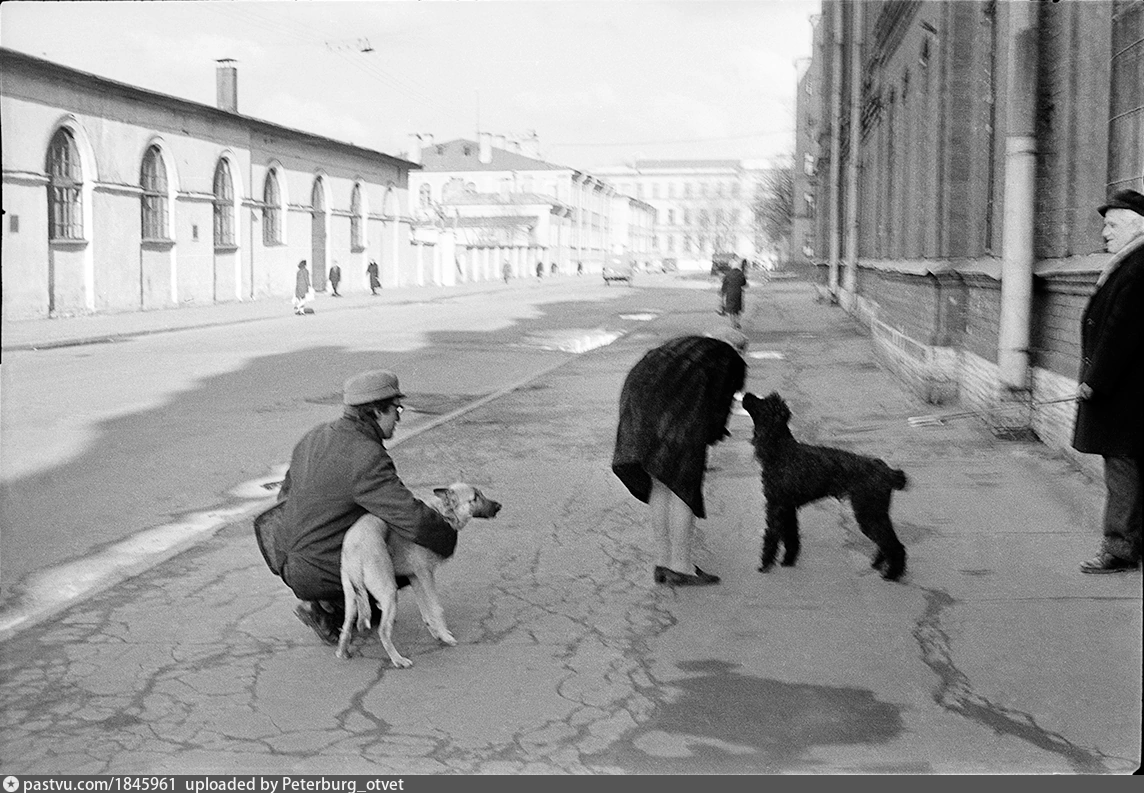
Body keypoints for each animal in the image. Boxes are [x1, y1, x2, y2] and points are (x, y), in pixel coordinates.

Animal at [336, 485, 503, 663]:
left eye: (480, 494)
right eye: (475, 498)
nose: (499, 506)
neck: (441, 512)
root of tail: (354, 547)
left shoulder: (416, 578)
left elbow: (426, 610)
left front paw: (437, 632)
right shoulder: (426, 575)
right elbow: (436, 608)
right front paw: (445, 636)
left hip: (352, 598)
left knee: (346, 626)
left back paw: (342, 651)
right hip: (389, 593)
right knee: (383, 630)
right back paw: (398, 660)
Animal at [741, 391, 910, 581]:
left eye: (764, 403)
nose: (746, 394)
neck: (780, 450)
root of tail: (888, 472)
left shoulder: (775, 506)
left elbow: (771, 537)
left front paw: (765, 565)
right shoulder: (787, 508)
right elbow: (791, 537)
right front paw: (788, 561)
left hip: (869, 513)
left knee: (894, 545)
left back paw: (892, 574)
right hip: (875, 512)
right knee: (886, 541)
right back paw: (878, 564)